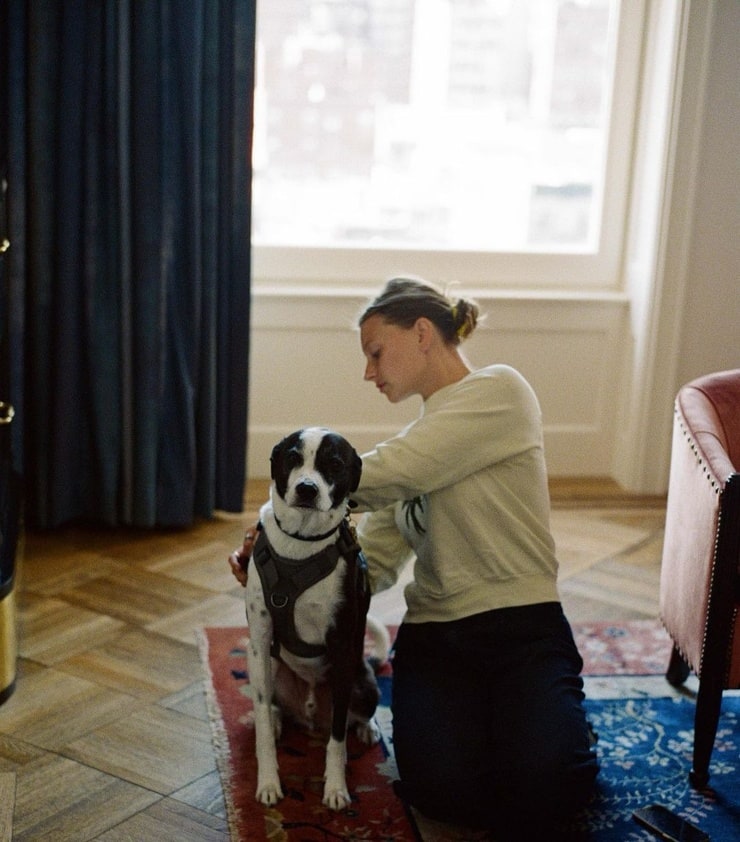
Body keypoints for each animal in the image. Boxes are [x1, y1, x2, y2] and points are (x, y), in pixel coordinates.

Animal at [247, 426, 390, 808]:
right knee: (271, 705)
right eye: (292, 458)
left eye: (335, 465)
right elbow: (263, 726)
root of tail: (310, 710)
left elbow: (337, 738)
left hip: (361, 682)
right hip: (271, 670)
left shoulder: (341, 647)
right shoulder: (259, 639)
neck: (301, 542)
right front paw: (268, 782)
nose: (307, 489)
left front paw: (336, 787)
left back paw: (368, 728)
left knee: (358, 713)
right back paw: (278, 719)